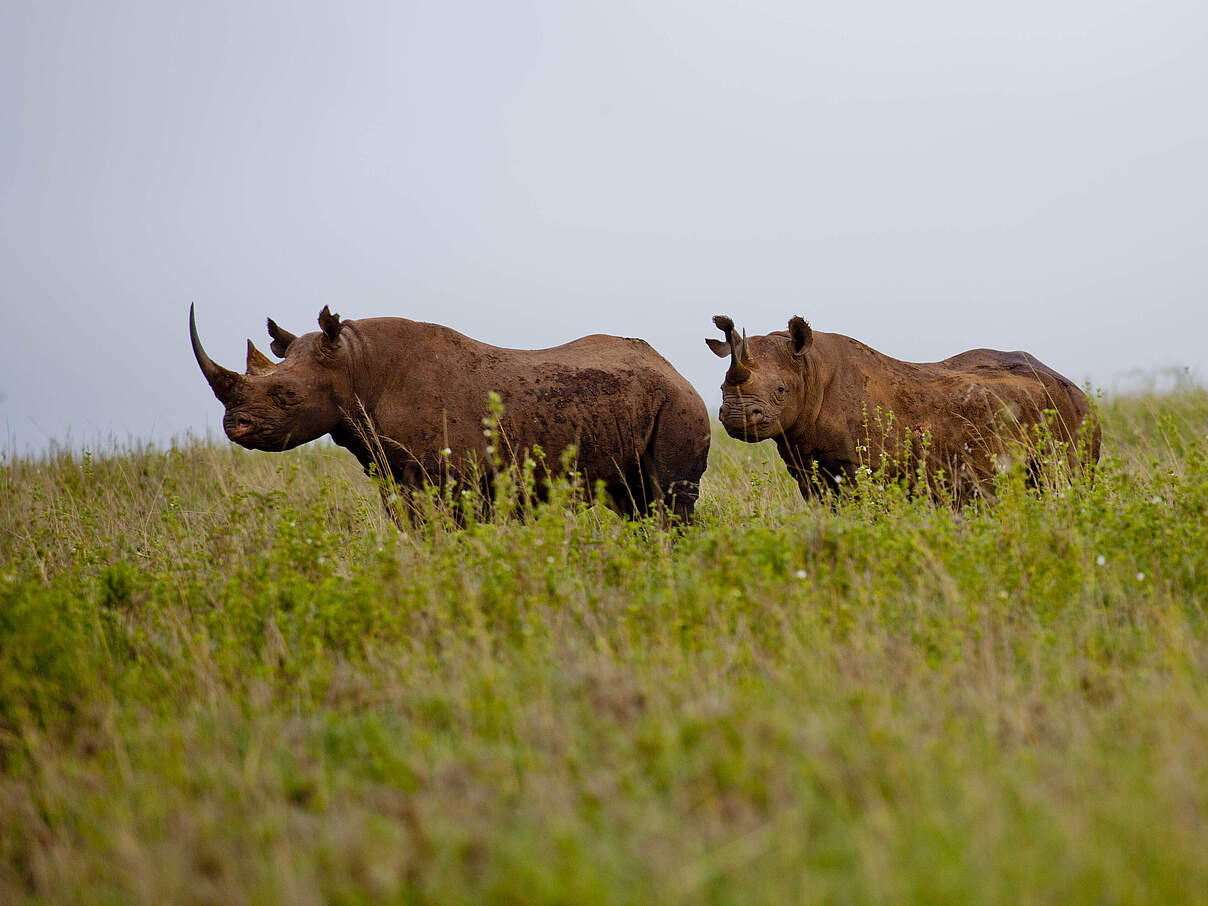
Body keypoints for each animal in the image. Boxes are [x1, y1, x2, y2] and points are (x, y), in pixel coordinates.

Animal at [190, 305, 705, 521]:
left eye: (287, 395)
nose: (234, 426)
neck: (357, 364)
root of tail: (675, 369)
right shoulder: (393, 473)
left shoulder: (449, 478)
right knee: (632, 502)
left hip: (680, 405)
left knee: (668, 502)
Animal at [705, 316, 1101, 504]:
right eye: (722, 389)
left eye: (781, 392)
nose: (738, 417)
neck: (810, 370)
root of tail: (1075, 388)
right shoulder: (805, 463)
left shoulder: (860, 465)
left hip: (1074, 416)